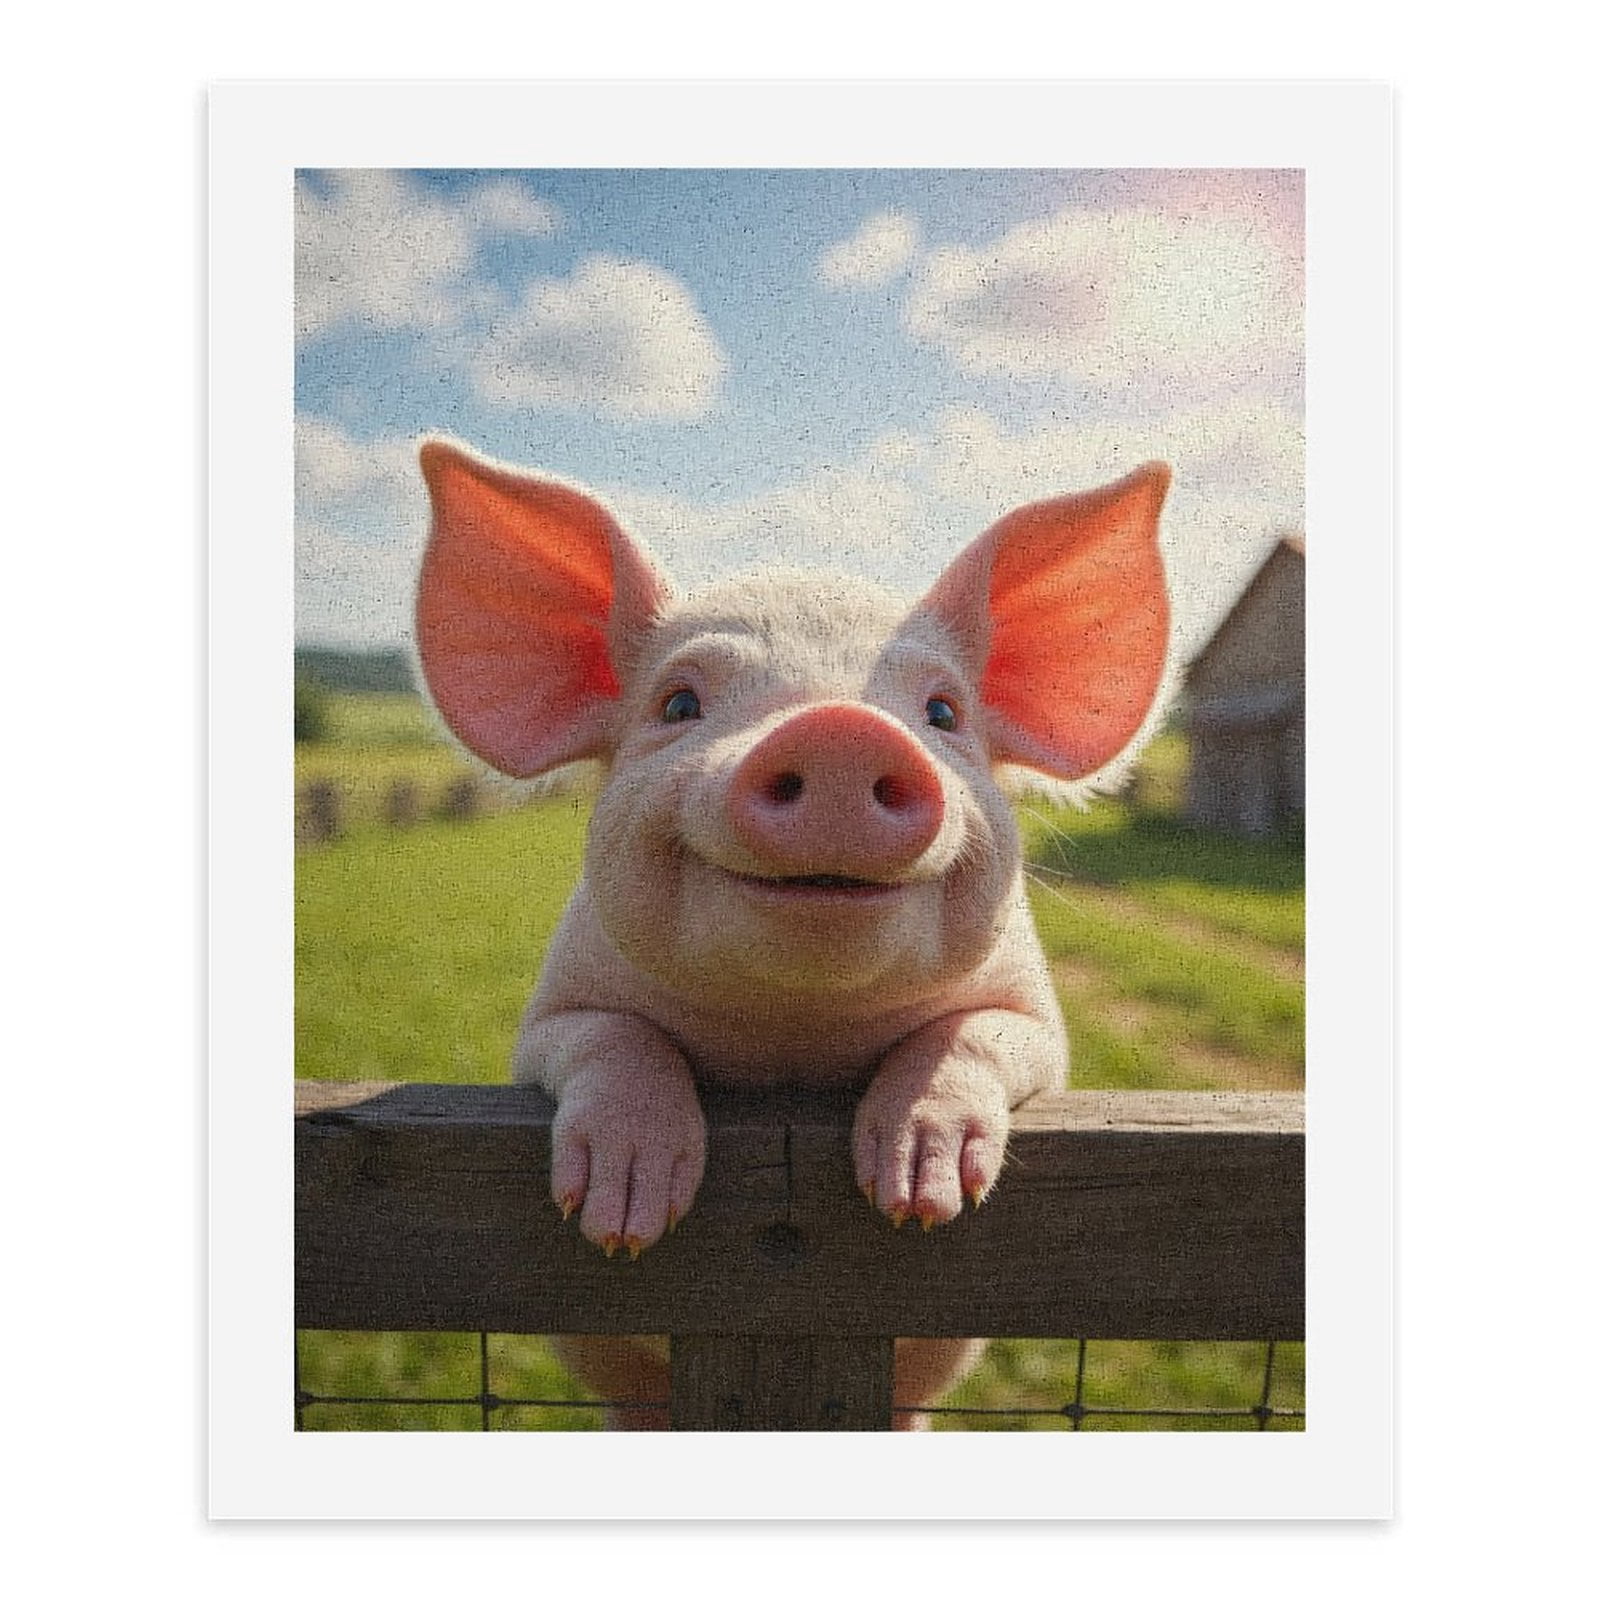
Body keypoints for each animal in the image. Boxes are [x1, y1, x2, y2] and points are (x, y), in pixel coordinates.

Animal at [413, 437, 1171, 1429]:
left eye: (943, 714)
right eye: (679, 704)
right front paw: (622, 1225)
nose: (839, 730)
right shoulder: (546, 1019)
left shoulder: (1039, 1022)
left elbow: (977, 1037)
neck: (794, 1040)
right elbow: (608, 1037)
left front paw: (920, 1201)